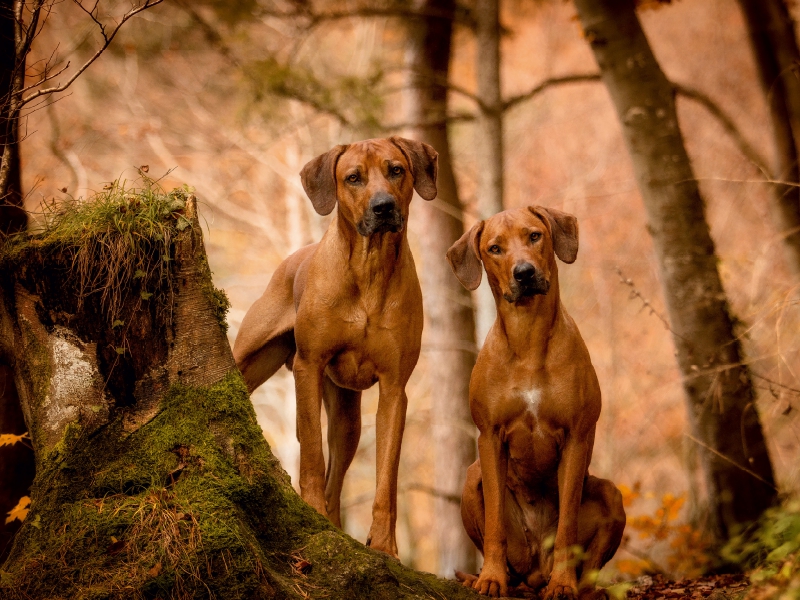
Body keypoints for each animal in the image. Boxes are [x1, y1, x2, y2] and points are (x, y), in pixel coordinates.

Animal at [234, 137, 438, 556]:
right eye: (353, 178)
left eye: (396, 170)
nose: (383, 207)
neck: (369, 268)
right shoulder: (308, 366)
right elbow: (312, 453)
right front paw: (310, 513)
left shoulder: (395, 389)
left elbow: (386, 480)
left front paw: (384, 546)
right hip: (250, 360)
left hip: (347, 416)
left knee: (337, 477)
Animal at [444, 206, 624, 596]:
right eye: (495, 249)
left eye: (534, 236)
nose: (524, 273)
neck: (528, 338)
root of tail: (535, 572)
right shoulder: (489, 437)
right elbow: (495, 523)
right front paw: (492, 578)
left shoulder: (576, 437)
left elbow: (567, 525)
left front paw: (563, 583)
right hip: (472, 478)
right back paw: (493, 577)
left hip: (611, 494)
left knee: (589, 566)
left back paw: (582, 588)